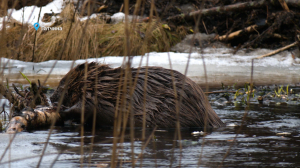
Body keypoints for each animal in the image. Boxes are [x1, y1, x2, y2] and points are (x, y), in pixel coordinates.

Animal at [49, 62, 223, 128]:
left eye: (62, 82)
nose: (51, 98)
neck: (103, 82)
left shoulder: (100, 97)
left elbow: (88, 108)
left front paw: (62, 108)